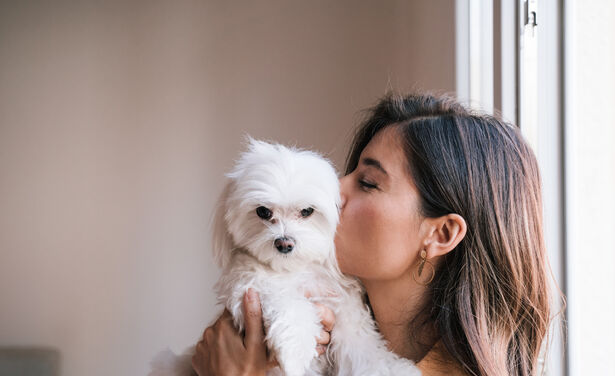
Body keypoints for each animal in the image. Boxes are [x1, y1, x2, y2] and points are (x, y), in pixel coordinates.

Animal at [150, 138, 424, 376]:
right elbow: (288, 303)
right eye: (263, 211)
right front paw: (295, 353)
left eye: (307, 211)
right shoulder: (249, 285)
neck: (294, 271)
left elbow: (364, 346)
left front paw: (393, 368)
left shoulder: (343, 309)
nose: (284, 243)